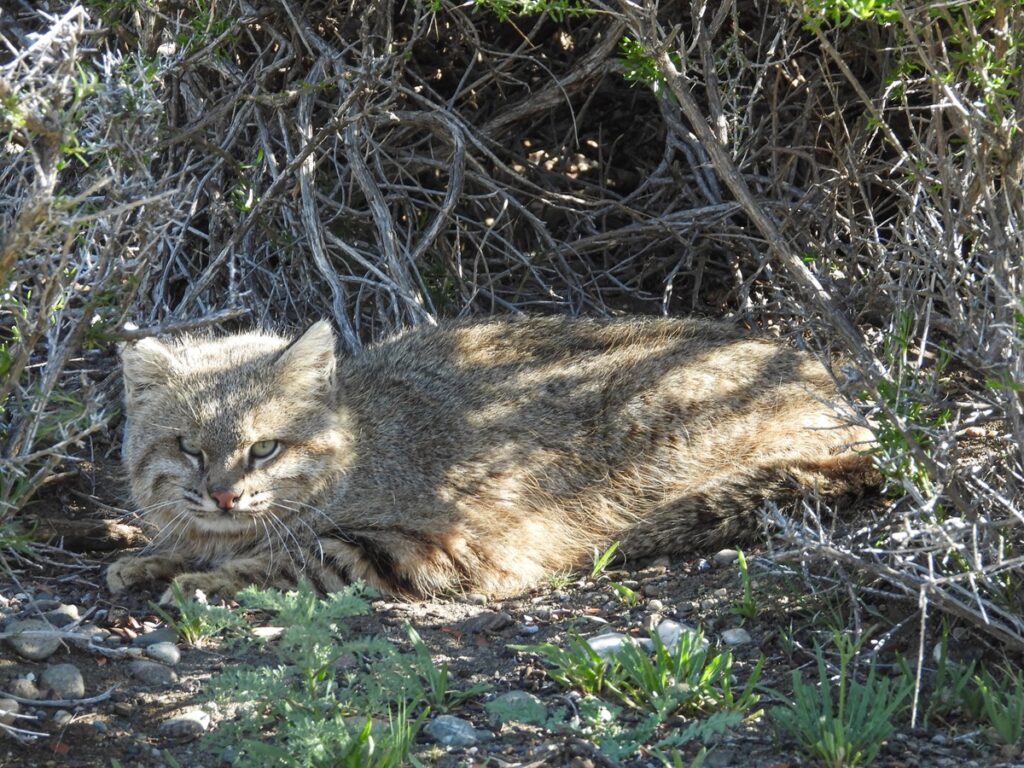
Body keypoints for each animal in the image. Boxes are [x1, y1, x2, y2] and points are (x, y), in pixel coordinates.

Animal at [103, 315, 876, 606]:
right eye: (189, 447)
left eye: (264, 447)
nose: (224, 495)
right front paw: (155, 557)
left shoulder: (442, 545)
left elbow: (299, 556)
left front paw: (204, 577)